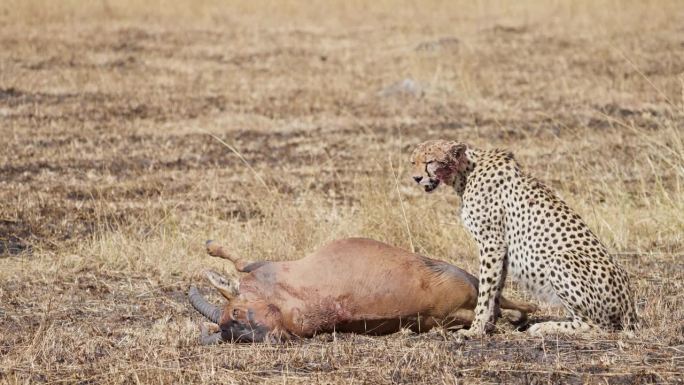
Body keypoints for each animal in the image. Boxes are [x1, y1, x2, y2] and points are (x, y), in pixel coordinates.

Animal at [408, 140, 640, 334]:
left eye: (430, 161)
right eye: (413, 162)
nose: (416, 178)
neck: (465, 172)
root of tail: (630, 304)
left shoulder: (491, 244)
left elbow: (485, 291)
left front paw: (474, 330)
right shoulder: (501, 250)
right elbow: (496, 289)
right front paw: (490, 325)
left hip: (561, 259)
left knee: (596, 324)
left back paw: (545, 327)